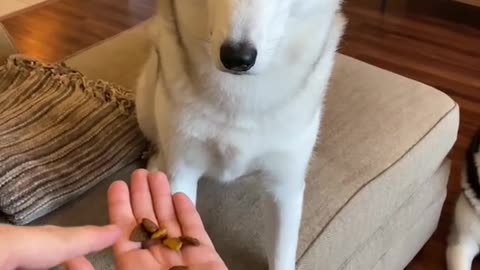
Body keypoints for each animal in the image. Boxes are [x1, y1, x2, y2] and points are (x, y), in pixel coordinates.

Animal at [135, 1, 344, 268]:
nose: (236, 58)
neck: (241, 97)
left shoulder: (285, 187)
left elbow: (282, 254)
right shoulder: (182, 171)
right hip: (145, 99)